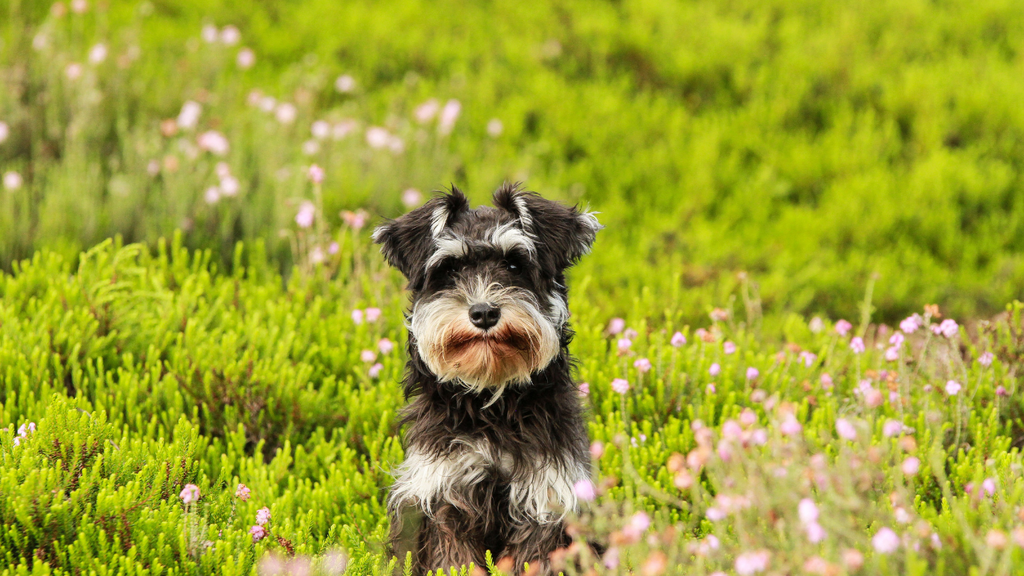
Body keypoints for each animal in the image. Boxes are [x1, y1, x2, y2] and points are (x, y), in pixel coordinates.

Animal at [374, 182, 598, 569]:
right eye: (449, 269)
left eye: (514, 263)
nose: (483, 312)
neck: (492, 402)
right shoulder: (444, 495)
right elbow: (454, 560)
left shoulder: (545, 498)